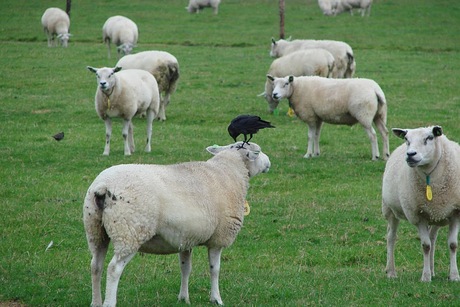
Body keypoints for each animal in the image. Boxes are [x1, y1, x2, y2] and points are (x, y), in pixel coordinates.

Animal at [82, 142, 270, 307]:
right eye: (258, 151)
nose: (269, 163)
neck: (229, 171)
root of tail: (103, 186)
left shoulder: (185, 238)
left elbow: (185, 268)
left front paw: (183, 298)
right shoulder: (219, 238)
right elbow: (215, 269)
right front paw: (216, 299)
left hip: (95, 230)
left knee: (95, 266)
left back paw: (95, 302)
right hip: (129, 232)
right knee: (113, 269)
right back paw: (108, 302)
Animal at [380, 126, 460, 282]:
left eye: (429, 137)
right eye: (406, 139)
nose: (410, 154)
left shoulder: (455, 212)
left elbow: (453, 245)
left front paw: (454, 276)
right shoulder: (418, 215)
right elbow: (425, 246)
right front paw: (425, 277)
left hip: (436, 215)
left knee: (433, 237)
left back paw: (433, 270)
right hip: (389, 209)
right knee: (391, 237)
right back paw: (391, 271)